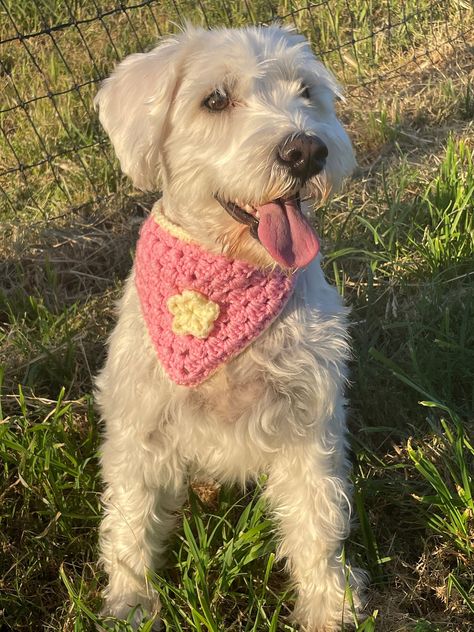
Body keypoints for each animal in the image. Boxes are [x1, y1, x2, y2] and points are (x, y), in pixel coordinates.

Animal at [94, 22, 364, 628]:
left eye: (307, 91)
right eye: (214, 100)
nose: (306, 150)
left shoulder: (307, 423)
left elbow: (316, 521)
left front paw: (328, 604)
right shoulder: (139, 428)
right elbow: (130, 524)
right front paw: (130, 603)